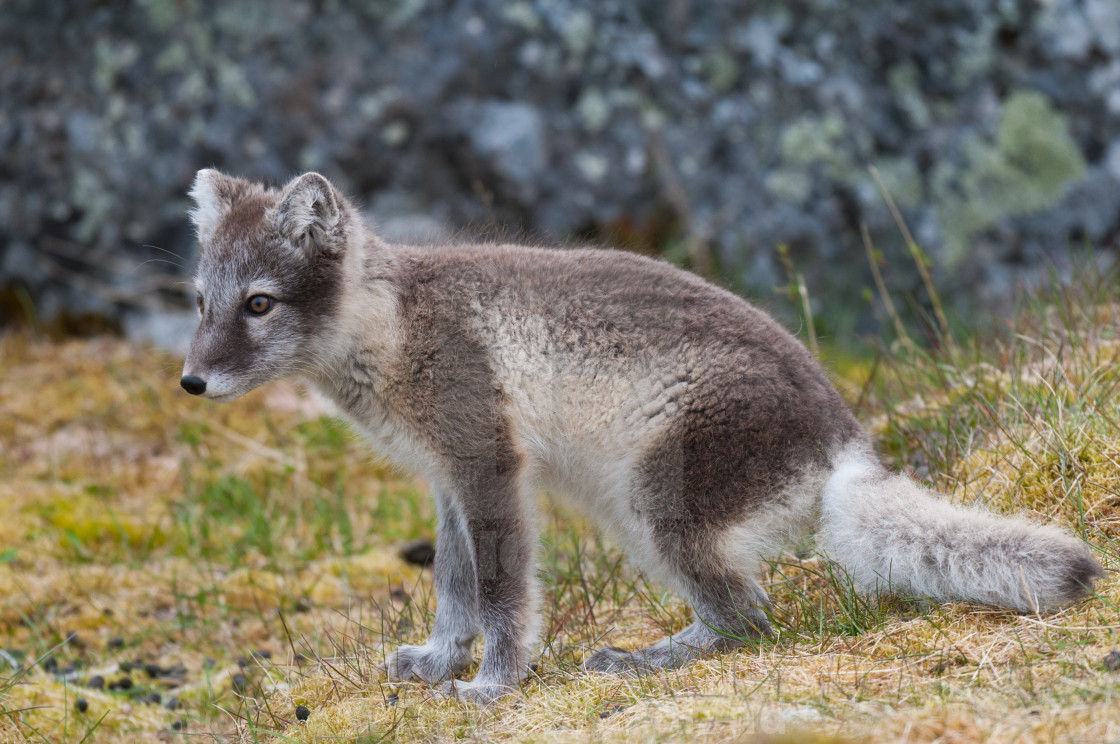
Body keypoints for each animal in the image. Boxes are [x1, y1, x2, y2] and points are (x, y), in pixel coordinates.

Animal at [179, 170, 1097, 703]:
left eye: (259, 303)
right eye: (200, 300)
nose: (189, 382)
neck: (394, 326)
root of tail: (846, 441)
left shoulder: (488, 464)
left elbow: (503, 592)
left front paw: (494, 684)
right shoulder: (447, 478)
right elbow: (453, 585)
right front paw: (440, 663)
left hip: (655, 504)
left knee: (749, 619)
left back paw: (642, 660)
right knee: (743, 612)